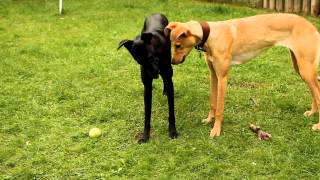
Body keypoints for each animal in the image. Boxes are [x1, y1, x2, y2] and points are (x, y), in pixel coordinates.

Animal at [117, 13, 178, 144]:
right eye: (140, 62)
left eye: (150, 57)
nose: (154, 74)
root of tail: (156, 13)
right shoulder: (147, 88)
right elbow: (147, 114)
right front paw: (145, 135)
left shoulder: (168, 79)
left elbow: (171, 112)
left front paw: (172, 131)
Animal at [165, 13, 320, 138]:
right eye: (172, 45)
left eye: (178, 45)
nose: (172, 62)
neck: (212, 35)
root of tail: (312, 27)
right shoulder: (213, 76)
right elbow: (212, 103)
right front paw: (209, 120)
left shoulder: (222, 78)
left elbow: (219, 108)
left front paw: (216, 130)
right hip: (301, 69)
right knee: (315, 91)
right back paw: (312, 113)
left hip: (305, 70)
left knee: (317, 93)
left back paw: (317, 126)